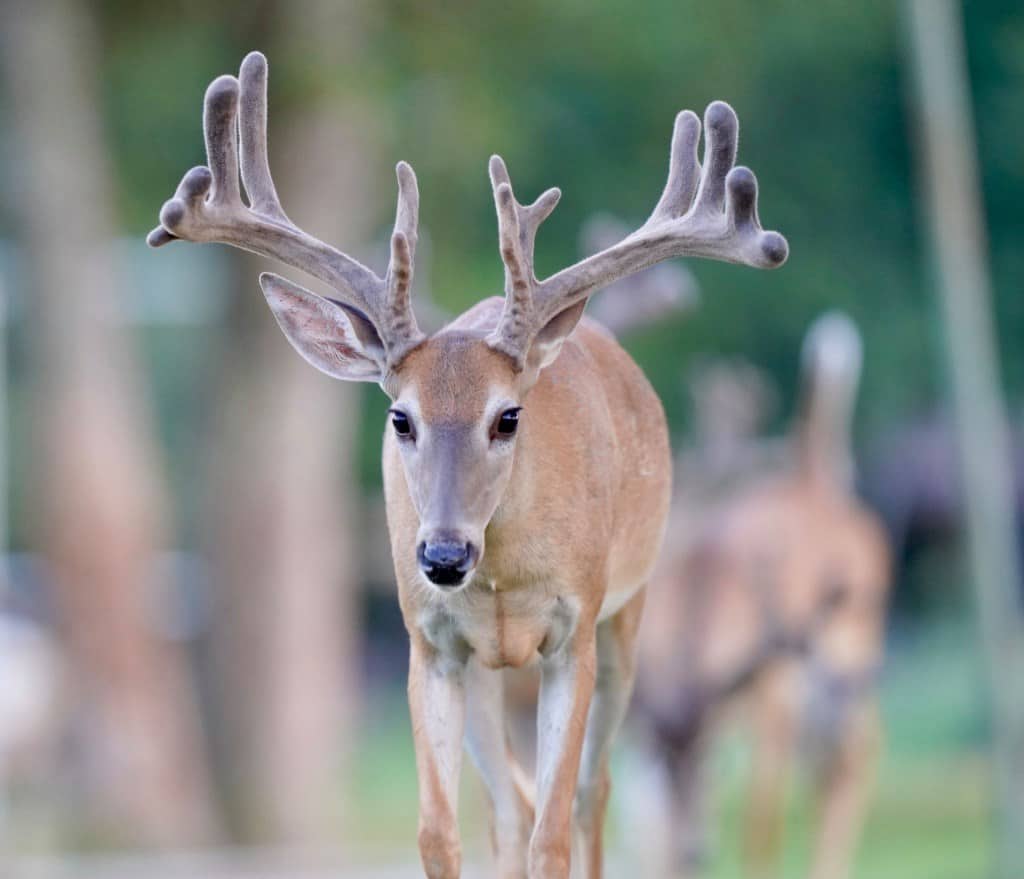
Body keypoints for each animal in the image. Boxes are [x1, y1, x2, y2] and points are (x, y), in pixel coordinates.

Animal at [147, 51, 788, 879]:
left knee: (591, 795)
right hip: (488, 672)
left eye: (507, 416)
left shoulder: (575, 631)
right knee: (510, 805)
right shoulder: (433, 642)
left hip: (632, 614)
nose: (443, 554)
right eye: (400, 417)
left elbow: (556, 830)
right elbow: (439, 831)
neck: (504, 574)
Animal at [633, 313, 890, 879]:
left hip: (850, 653)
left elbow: (761, 823)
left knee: (851, 759)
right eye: (667, 763)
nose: (696, 847)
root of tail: (810, 475)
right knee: (836, 762)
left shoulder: (772, 692)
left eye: (703, 757)